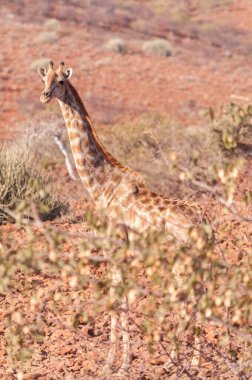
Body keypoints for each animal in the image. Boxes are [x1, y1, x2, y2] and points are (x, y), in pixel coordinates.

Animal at [39, 60, 205, 376]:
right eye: (44, 79)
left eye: (61, 81)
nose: (44, 95)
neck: (101, 183)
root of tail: (206, 226)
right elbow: (119, 297)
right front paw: (114, 361)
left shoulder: (116, 244)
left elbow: (119, 298)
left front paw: (118, 364)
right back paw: (182, 362)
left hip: (182, 264)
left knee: (190, 301)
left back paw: (181, 364)